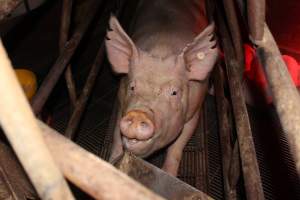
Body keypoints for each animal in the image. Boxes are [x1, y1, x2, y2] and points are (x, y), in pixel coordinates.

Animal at [105, 0, 218, 176]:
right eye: (132, 87)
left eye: (174, 92)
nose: (138, 113)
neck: (162, 49)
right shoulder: (121, 103)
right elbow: (117, 137)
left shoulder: (195, 111)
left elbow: (177, 146)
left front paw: (169, 173)